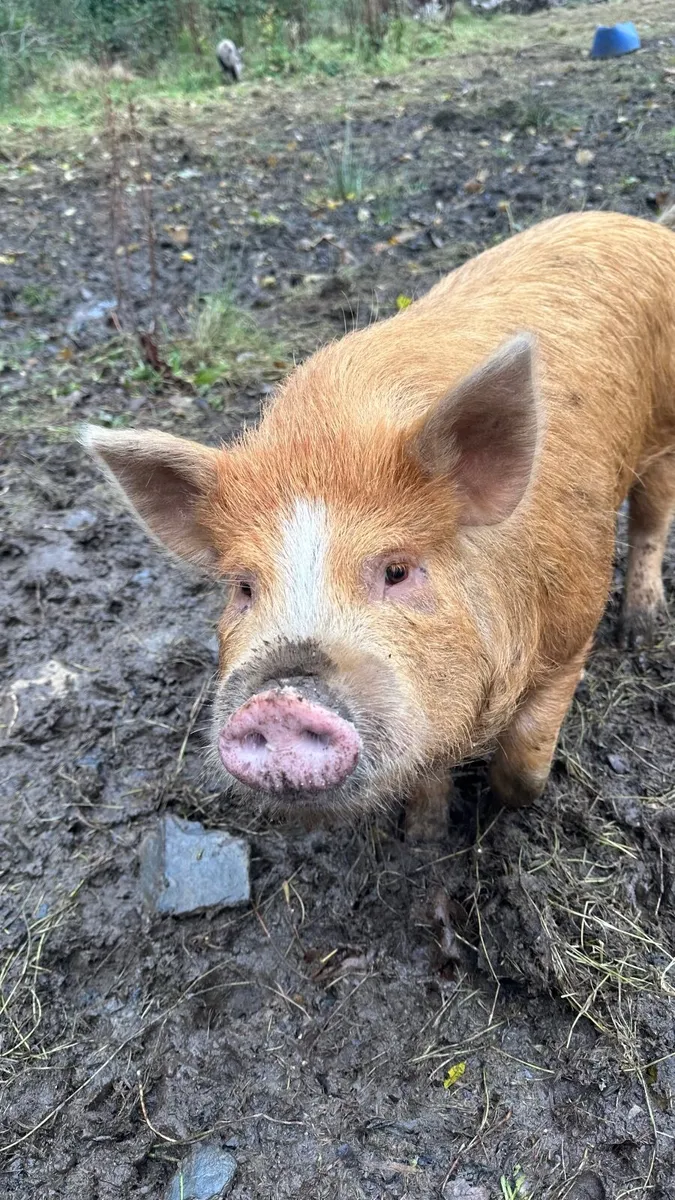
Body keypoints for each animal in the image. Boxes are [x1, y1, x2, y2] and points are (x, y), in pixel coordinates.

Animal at [81, 209, 675, 838]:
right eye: (243, 588)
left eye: (397, 571)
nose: (281, 698)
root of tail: (635, 225)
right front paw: (422, 835)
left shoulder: (572, 630)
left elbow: (523, 756)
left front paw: (508, 809)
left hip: (663, 429)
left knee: (652, 519)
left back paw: (640, 630)